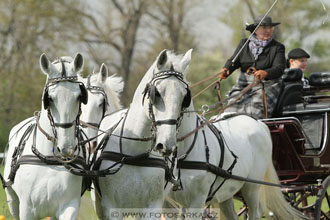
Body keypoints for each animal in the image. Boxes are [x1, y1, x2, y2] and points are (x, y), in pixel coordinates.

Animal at [3, 53, 87, 220]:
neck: (49, 159)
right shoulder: (26, 209)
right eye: (50, 98)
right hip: (12, 201)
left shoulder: (69, 206)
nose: (66, 149)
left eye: (79, 96)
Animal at [91, 49, 192, 219]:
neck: (135, 153)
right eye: (157, 93)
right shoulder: (111, 207)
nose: (167, 144)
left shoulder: (152, 207)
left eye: (185, 97)